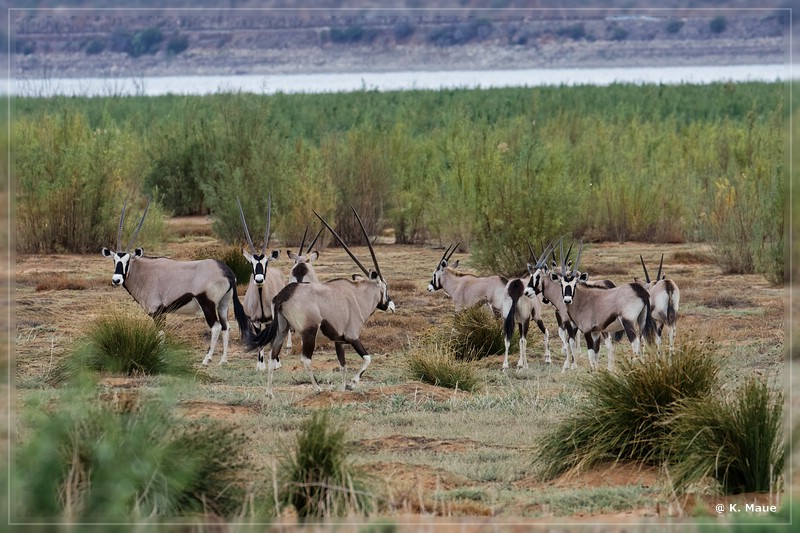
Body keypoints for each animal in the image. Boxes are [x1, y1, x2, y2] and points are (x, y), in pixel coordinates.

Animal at [101, 200, 250, 366]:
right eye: (115, 260)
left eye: (128, 261)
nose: (116, 280)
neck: (144, 272)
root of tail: (226, 272)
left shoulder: (158, 312)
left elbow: (160, 335)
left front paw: (160, 358)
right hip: (223, 304)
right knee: (226, 327)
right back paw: (223, 360)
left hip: (208, 304)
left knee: (216, 327)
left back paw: (207, 359)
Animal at [238, 195, 288, 370]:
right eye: (251, 264)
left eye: (266, 262)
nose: (259, 279)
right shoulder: (255, 321)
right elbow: (259, 339)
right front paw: (260, 365)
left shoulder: (272, 320)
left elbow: (273, 339)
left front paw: (274, 362)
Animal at [244, 206, 394, 396]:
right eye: (385, 287)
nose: (391, 306)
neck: (358, 295)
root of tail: (284, 295)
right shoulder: (352, 337)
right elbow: (367, 358)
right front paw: (352, 384)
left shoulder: (339, 341)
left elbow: (343, 366)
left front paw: (343, 389)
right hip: (309, 331)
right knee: (305, 359)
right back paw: (317, 389)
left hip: (282, 329)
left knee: (273, 354)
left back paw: (269, 393)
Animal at [500, 240, 556, 370]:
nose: (547, 300)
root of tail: (516, 285)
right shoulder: (536, 317)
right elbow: (546, 332)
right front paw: (548, 359)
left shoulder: (519, 322)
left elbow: (519, 341)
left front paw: (519, 363)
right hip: (526, 320)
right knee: (524, 340)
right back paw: (526, 366)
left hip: (507, 318)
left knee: (507, 338)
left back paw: (505, 366)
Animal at [552, 241, 652, 370]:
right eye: (561, 284)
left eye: (574, 284)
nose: (567, 300)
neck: (584, 299)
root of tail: (639, 290)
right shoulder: (596, 332)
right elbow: (596, 353)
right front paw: (597, 371)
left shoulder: (587, 330)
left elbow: (590, 353)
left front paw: (593, 371)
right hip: (642, 321)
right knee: (643, 341)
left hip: (628, 322)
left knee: (635, 343)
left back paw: (634, 366)